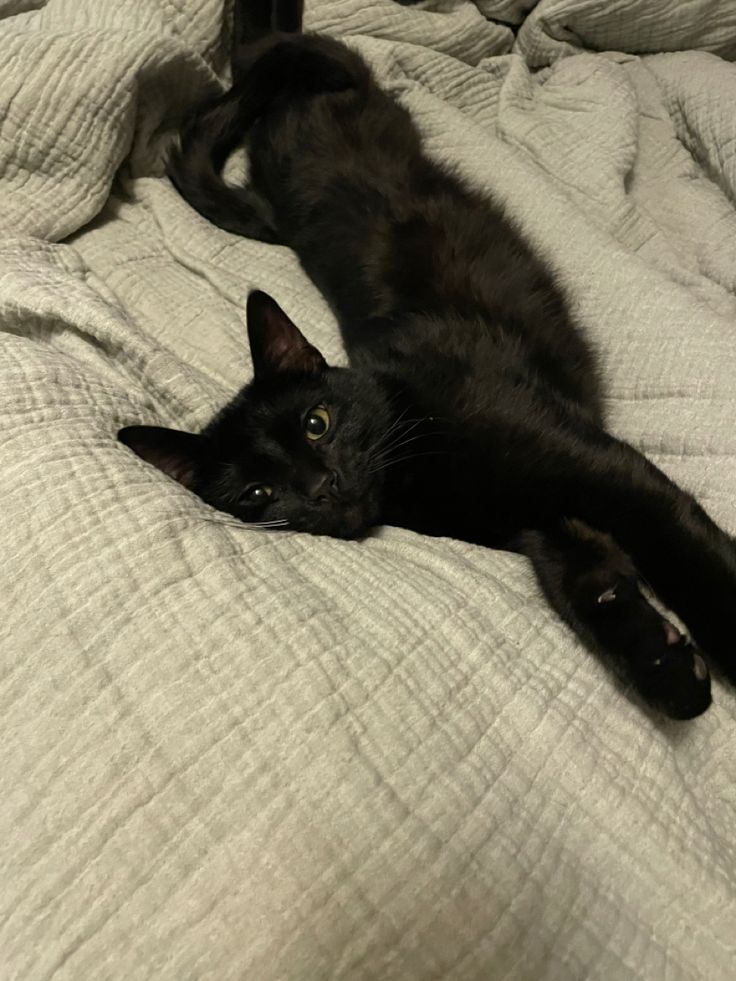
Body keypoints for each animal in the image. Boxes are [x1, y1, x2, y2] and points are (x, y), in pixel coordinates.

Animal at [118, 0, 732, 720]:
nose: (322, 487)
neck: (415, 468)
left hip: (337, 75)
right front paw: (664, 664)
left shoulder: (603, 470)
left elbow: (685, 548)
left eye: (317, 424)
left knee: (269, 54)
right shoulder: (543, 519)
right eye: (257, 494)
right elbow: (586, 581)